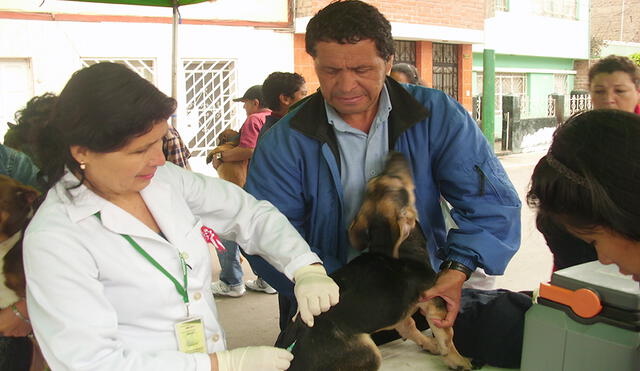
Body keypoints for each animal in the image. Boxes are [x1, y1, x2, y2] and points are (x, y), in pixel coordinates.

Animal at [278, 152, 472, 371]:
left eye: (373, 183)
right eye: (398, 182)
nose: (395, 154)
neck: (397, 249)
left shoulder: (398, 313)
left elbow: (410, 327)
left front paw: (429, 344)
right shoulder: (434, 303)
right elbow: (447, 337)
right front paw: (458, 360)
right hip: (369, 352)